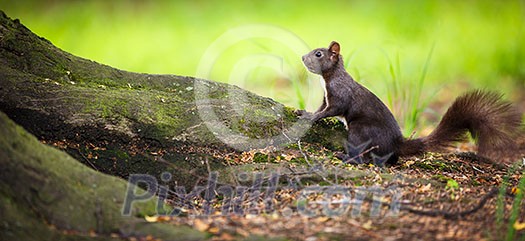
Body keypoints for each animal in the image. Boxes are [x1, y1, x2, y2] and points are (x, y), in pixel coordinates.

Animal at [296, 41, 520, 165]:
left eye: (319, 54)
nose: (302, 57)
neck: (329, 78)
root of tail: (397, 143)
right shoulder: (326, 97)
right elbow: (321, 108)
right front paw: (305, 112)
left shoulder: (340, 96)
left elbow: (331, 110)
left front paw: (311, 117)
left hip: (360, 130)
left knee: (364, 157)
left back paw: (346, 158)